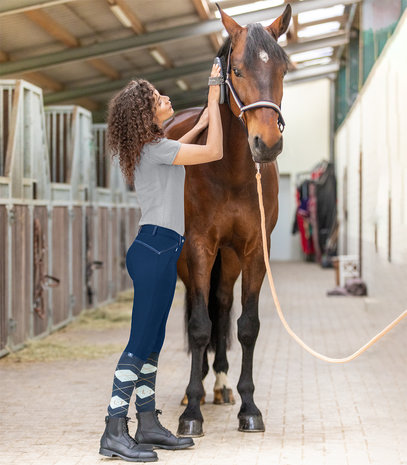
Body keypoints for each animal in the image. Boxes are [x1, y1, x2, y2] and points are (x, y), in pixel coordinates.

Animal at [164, 4, 292, 436]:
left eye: (283, 68)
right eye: (236, 70)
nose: (267, 144)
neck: (231, 169)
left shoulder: (253, 251)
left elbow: (246, 325)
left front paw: (249, 407)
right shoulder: (200, 247)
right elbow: (199, 326)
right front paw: (191, 413)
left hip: (230, 257)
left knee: (220, 304)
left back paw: (219, 384)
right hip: (188, 260)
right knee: (199, 310)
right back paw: (198, 388)